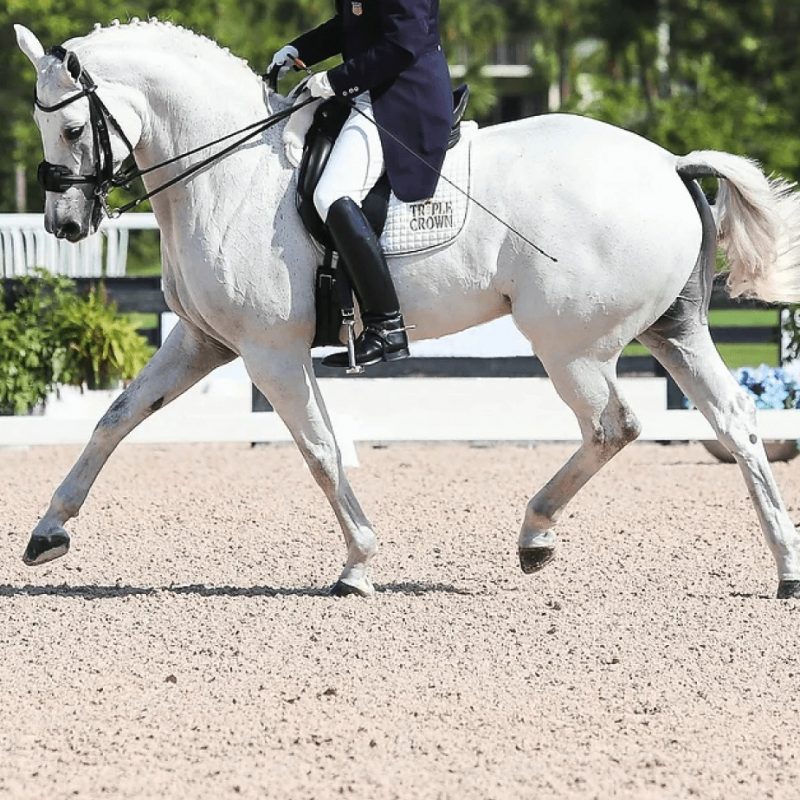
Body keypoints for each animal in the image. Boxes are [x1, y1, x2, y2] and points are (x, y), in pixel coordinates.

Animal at [14, 20, 800, 599]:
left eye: (74, 130)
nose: (66, 226)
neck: (227, 173)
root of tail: (668, 163)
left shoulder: (270, 352)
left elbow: (321, 451)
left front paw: (358, 564)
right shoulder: (203, 341)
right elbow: (115, 418)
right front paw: (49, 531)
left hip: (570, 343)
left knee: (615, 426)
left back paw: (535, 534)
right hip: (673, 330)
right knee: (734, 420)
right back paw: (783, 568)